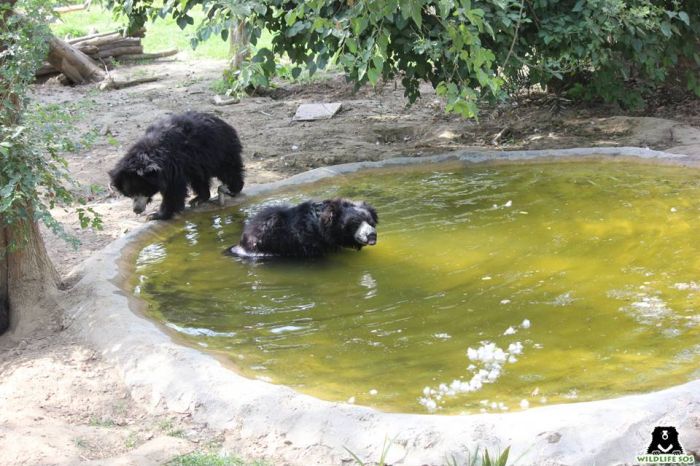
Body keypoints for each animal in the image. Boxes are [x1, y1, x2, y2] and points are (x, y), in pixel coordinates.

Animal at [106, 113, 243, 222]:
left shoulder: (173, 166)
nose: (137, 210)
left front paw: (156, 215)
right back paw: (199, 199)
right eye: (130, 193)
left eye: (142, 190)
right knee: (199, 178)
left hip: (219, 150)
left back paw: (233, 189)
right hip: (199, 162)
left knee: (228, 169)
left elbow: (174, 190)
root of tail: (224, 123)